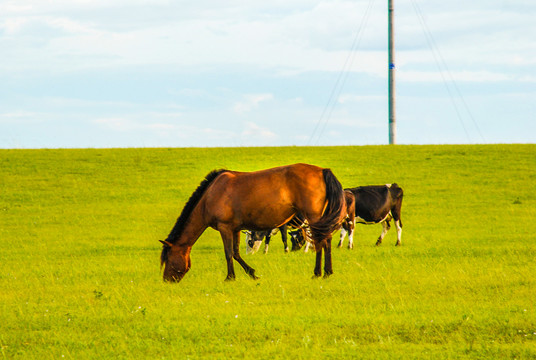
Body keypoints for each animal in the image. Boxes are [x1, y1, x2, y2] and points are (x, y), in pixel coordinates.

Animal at [159, 164, 346, 284]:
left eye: (168, 259)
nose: (167, 281)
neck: (210, 195)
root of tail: (322, 171)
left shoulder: (224, 228)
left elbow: (228, 253)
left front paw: (230, 278)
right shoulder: (234, 229)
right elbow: (236, 253)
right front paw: (252, 274)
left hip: (313, 217)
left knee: (321, 242)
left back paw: (318, 273)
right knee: (325, 241)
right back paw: (326, 272)